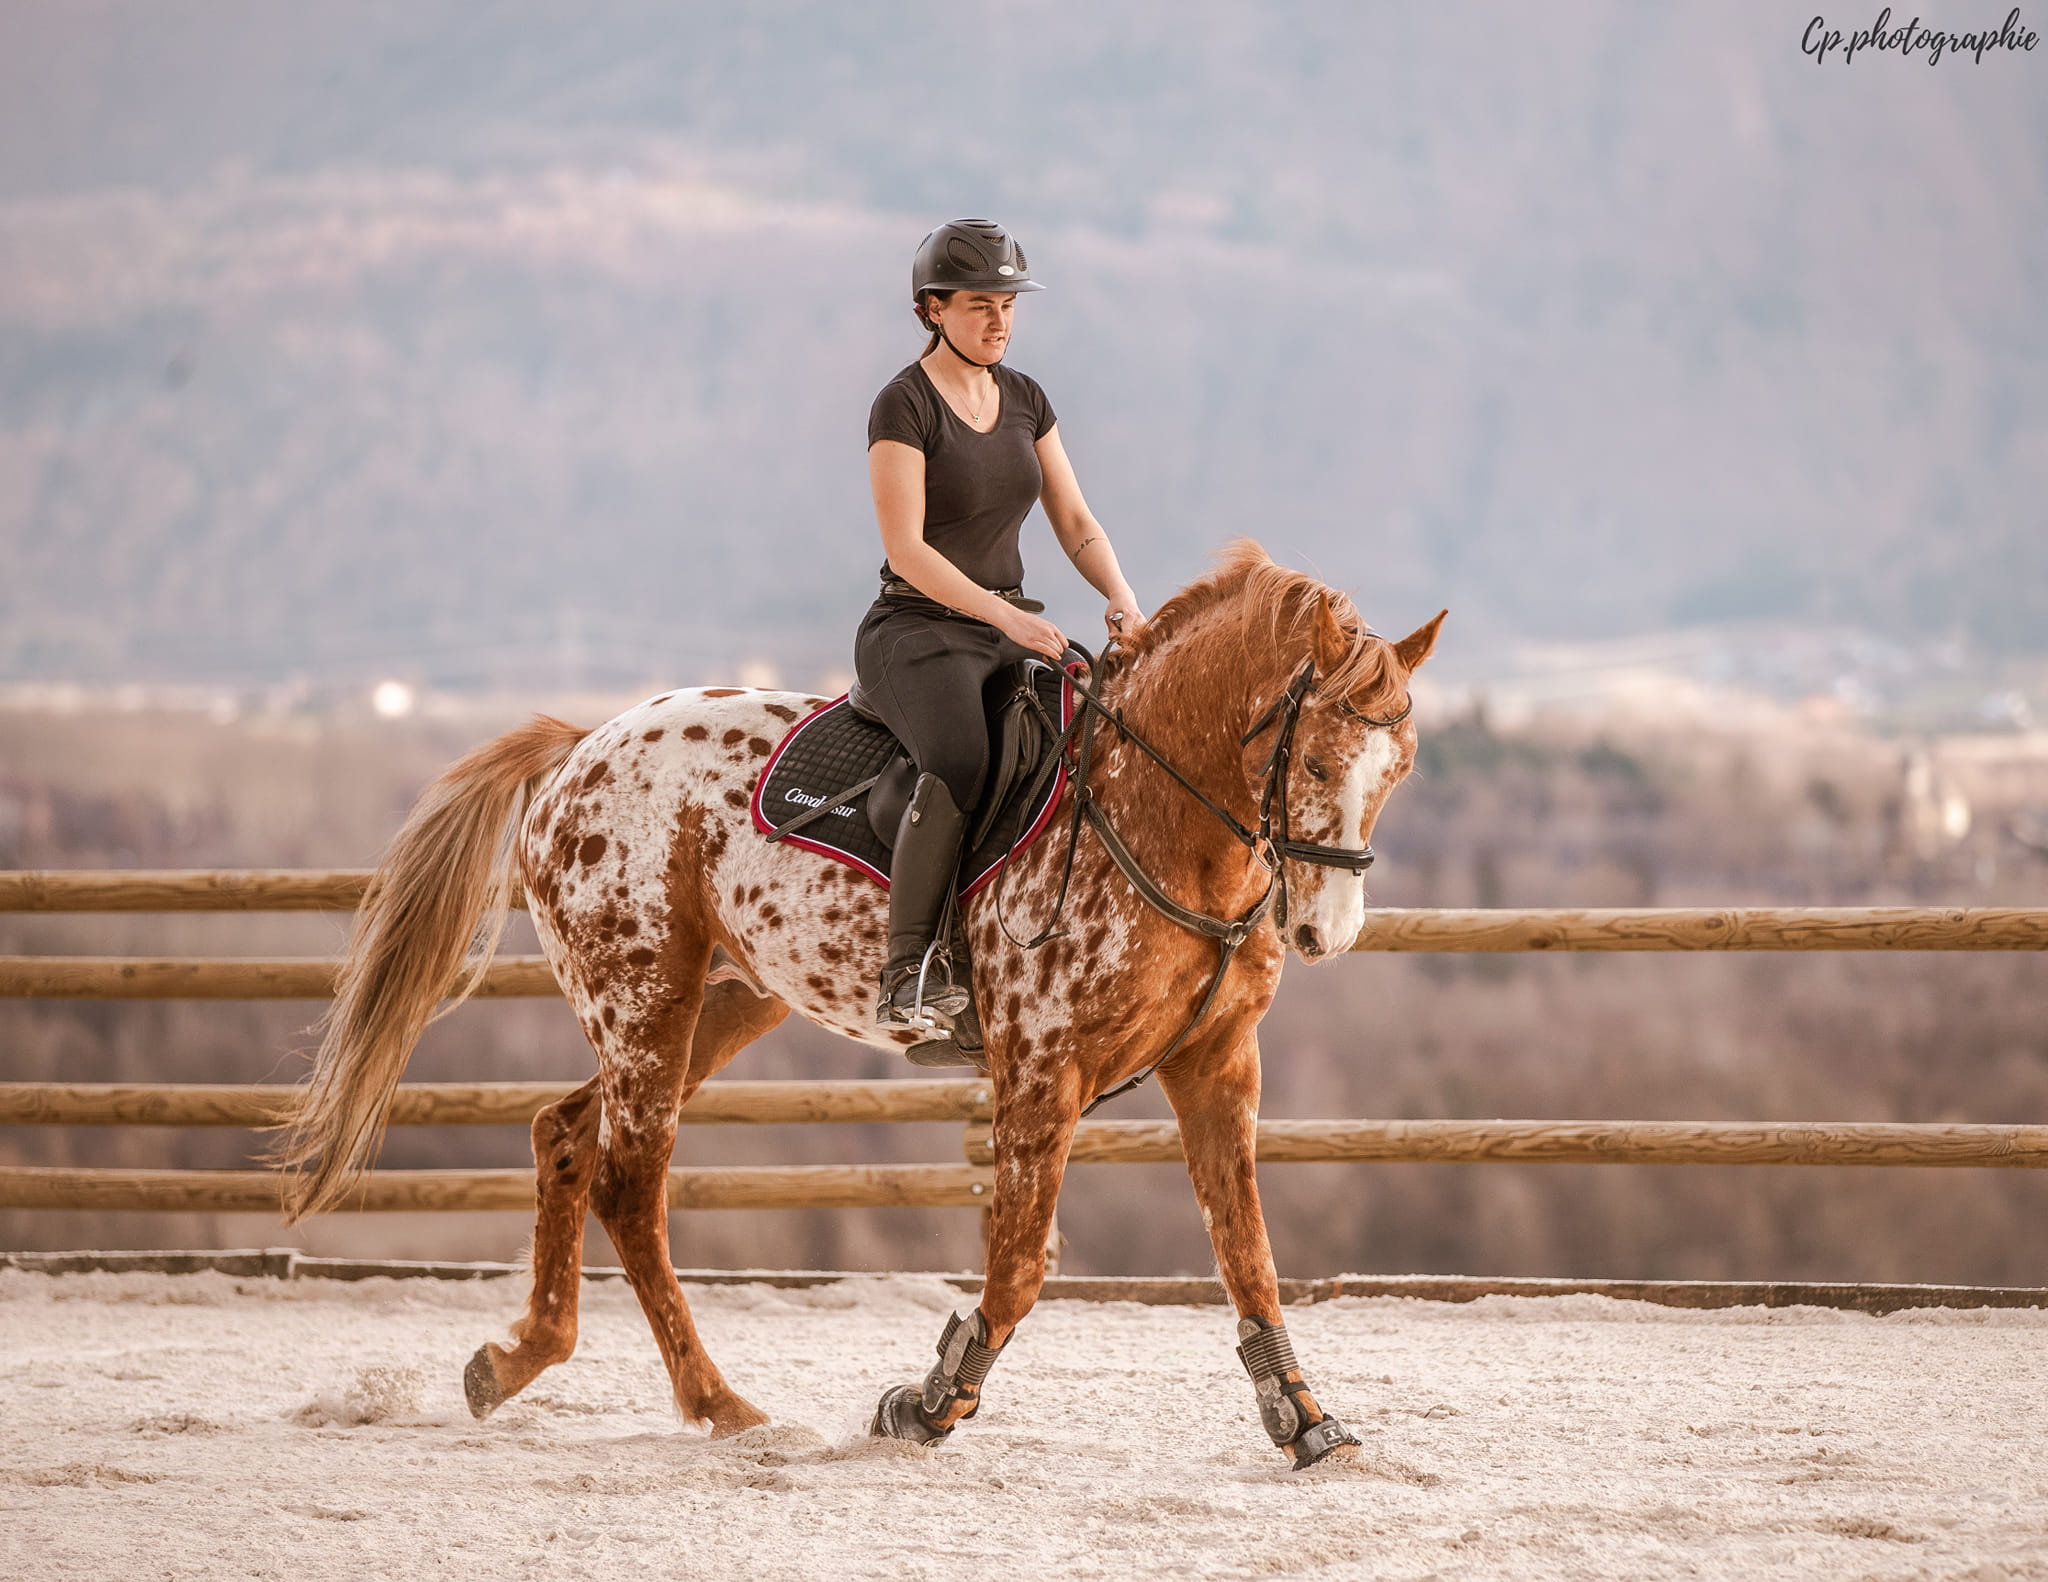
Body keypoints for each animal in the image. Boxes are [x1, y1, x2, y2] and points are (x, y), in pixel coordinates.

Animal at [280, 540, 1449, 1467]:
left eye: (1398, 769)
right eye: (1314, 760)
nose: (1326, 933)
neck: (1157, 817)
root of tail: (577, 748)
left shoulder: (1215, 1064)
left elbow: (1248, 1254)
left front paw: (1305, 1420)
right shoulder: (1042, 1073)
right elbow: (1019, 1266)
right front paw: (924, 1405)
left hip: (719, 1002)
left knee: (564, 1135)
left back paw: (515, 1360)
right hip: (644, 999)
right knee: (627, 1181)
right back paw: (721, 1406)